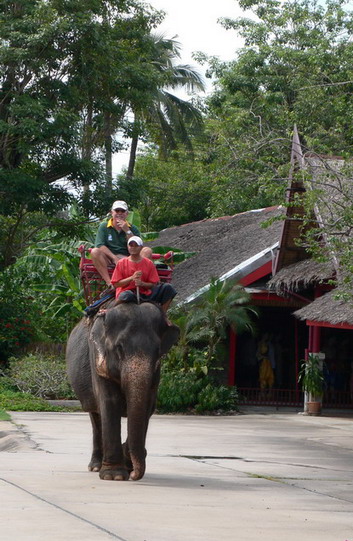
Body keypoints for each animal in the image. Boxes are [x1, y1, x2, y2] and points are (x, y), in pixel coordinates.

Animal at [66, 300, 179, 480]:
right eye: (119, 348)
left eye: (158, 351)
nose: (133, 475)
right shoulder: (96, 358)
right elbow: (110, 401)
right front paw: (114, 476)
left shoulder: (156, 372)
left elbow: (148, 405)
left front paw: (129, 461)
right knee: (95, 417)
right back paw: (95, 467)